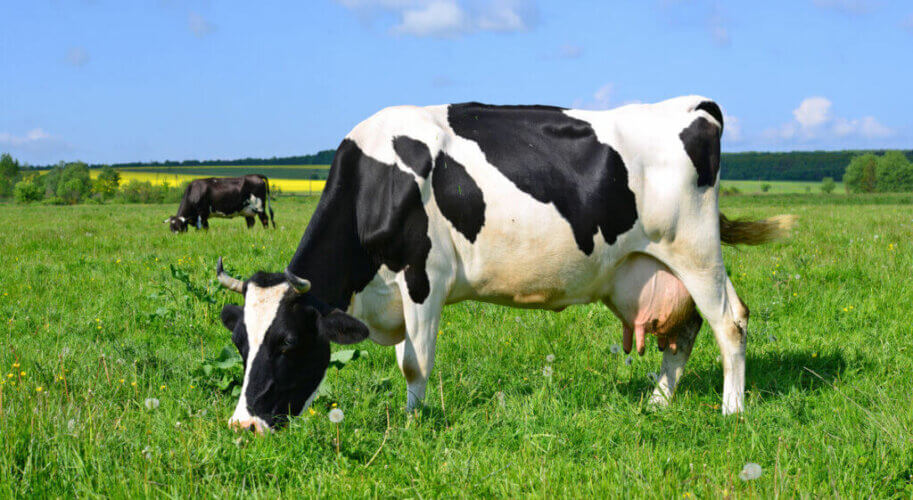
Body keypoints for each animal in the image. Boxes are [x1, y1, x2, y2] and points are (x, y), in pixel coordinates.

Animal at [214, 96, 793, 433]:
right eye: (241, 344)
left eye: (288, 343)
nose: (242, 425)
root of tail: (694, 106)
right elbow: (406, 356)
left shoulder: (424, 278)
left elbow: (413, 363)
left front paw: (413, 425)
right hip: (650, 267)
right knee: (685, 331)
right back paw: (656, 403)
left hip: (695, 250)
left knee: (730, 322)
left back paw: (732, 411)